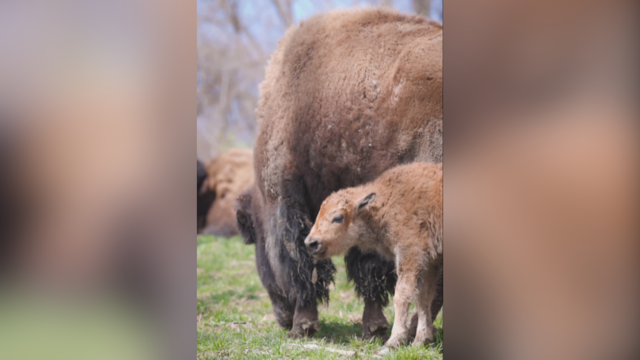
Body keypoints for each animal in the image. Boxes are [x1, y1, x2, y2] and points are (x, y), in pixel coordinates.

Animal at [304, 163, 442, 348]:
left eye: (338, 218)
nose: (311, 243)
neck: (384, 204)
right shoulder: (430, 262)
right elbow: (423, 298)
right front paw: (421, 341)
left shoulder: (410, 254)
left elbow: (402, 295)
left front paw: (393, 341)